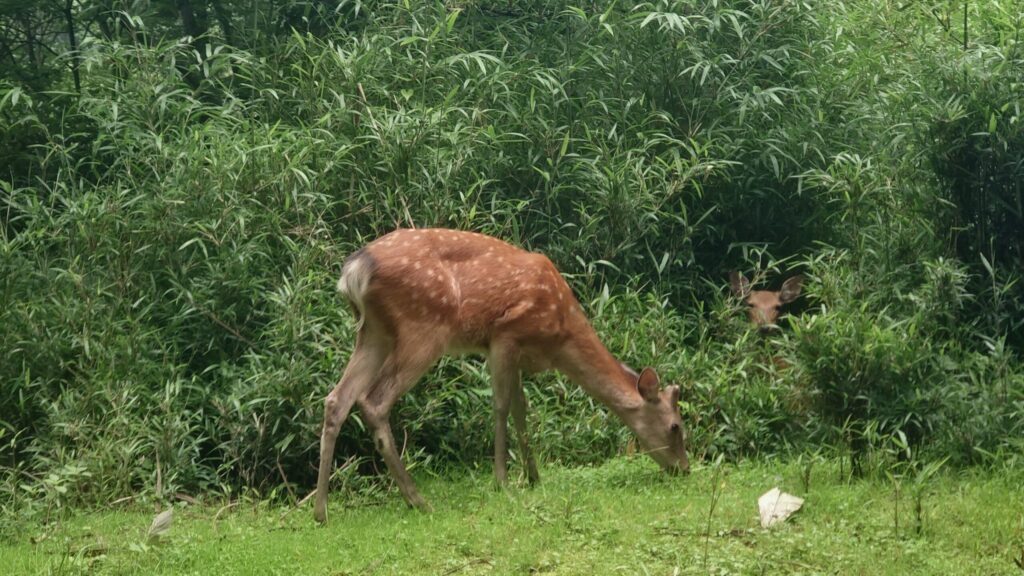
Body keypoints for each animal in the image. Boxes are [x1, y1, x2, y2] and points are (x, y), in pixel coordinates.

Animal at [314, 228, 689, 522]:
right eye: (676, 426)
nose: (684, 469)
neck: (560, 336)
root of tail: (354, 271)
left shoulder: (519, 353)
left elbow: (522, 408)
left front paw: (533, 476)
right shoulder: (504, 335)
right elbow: (502, 405)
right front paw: (503, 481)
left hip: (374, 331)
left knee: (337, 398)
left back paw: (321, 511)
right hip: (424, 327)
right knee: (374, 401)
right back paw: (417, 499)